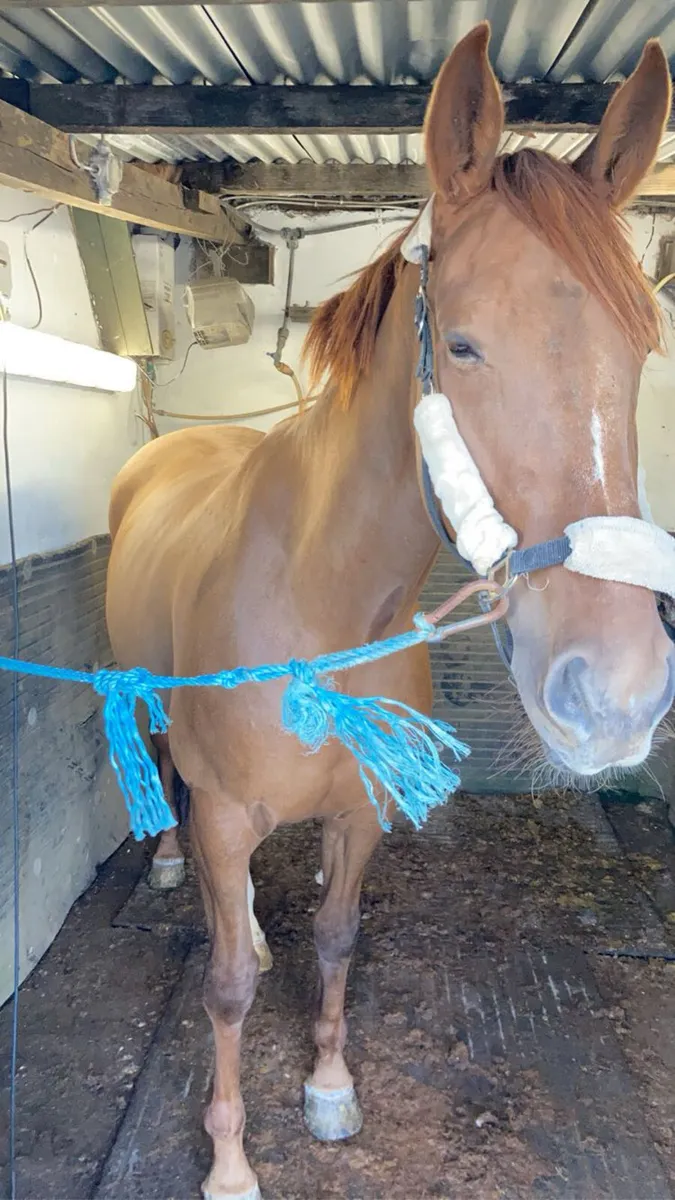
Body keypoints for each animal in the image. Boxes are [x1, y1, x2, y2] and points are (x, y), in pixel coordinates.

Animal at [106, 23, 675, 1199]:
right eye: (460, 346)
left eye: (641, 348)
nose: (617, 695)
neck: (320, 606)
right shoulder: (228, 811)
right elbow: (224, 989)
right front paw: (229, 1161)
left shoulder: (359, 811)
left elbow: (335, 938)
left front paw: (328, 1087)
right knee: (174, 811)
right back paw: (179, 874)